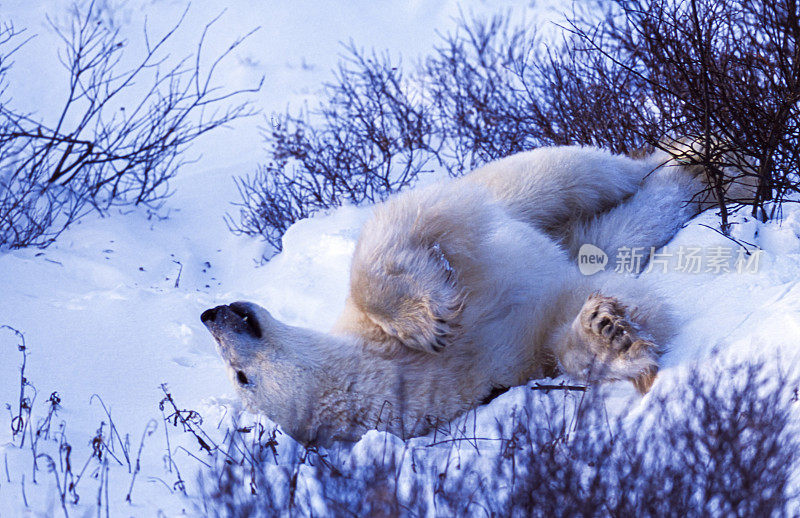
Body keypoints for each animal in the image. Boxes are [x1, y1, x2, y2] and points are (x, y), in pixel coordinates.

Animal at [200, 145, 752, 446]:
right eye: (241, 378)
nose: (212, 314)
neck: (384, 364)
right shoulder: (498, 367)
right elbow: (565, 331)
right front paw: (609, 334)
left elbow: (396, 229)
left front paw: (425, 319)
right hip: (588, 238)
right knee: (632, 221)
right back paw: (703, 176)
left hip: (521, 193)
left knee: (576, 174)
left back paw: (697, 156)